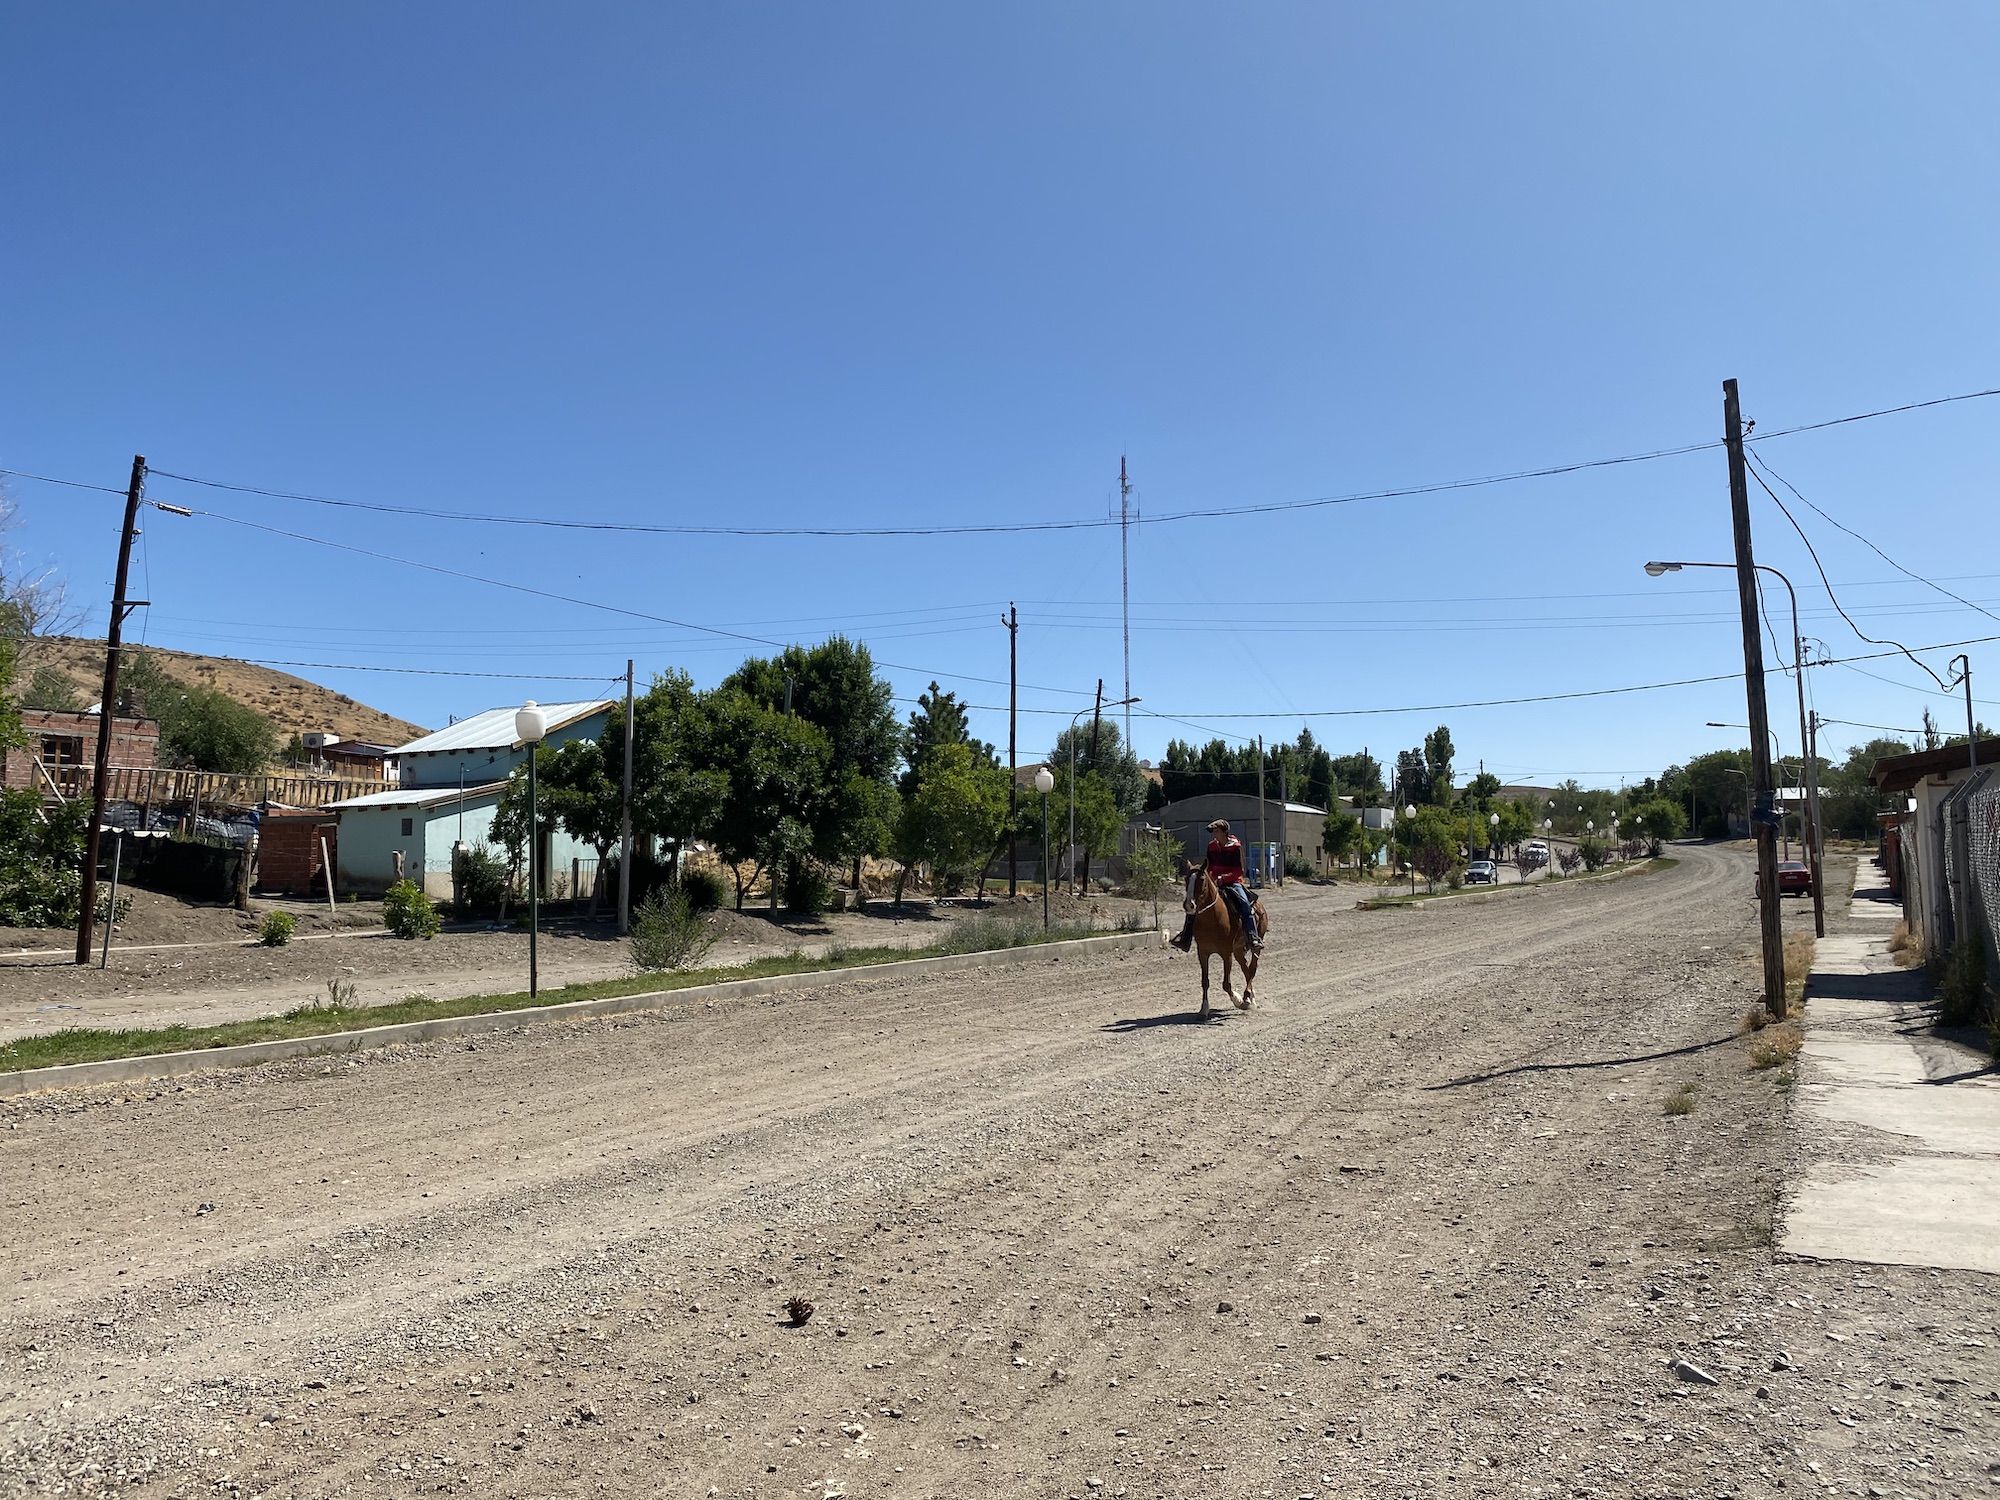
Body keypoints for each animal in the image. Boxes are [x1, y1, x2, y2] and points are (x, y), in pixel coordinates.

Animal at [1176, 868, 1272, 1024]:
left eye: (1201, 879)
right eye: (1186, 879)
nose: (1189, 905)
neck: (1212, 919)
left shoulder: (1226, 953)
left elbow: (1226, 984)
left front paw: (1238, 1001)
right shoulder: (1203, 953)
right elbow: (1205, 981)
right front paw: (1203, 1010)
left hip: (1255, 946)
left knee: (1252, 969)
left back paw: (1247, 997)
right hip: (1238, 950)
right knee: (1246, 970)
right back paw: (1250, 998)